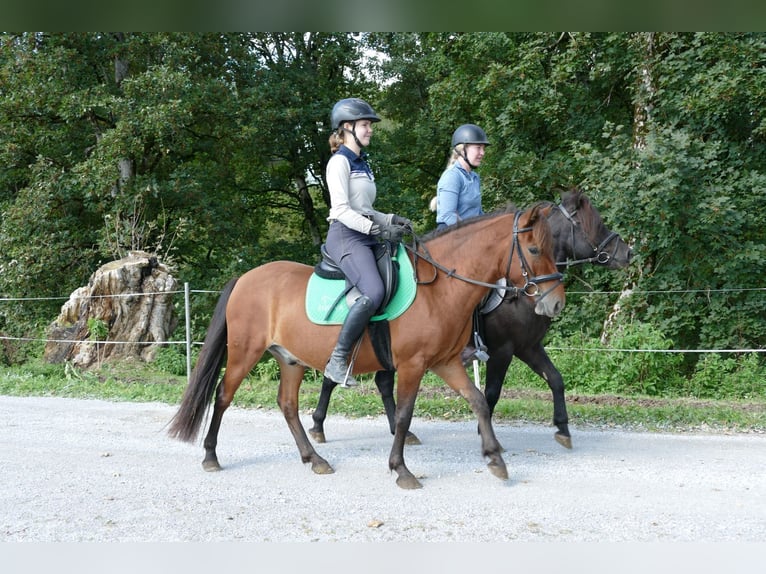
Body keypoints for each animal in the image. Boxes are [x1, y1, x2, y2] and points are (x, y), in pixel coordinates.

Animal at [168, 202, 568, 490]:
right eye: (534, 249)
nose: (555, 303)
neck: (438, 288)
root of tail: (245, 278)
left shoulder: (446, 362)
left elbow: (479, 402)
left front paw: (495, 460)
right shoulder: (413, 364)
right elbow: (404, 415)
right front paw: (401, 469)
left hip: (291, 360)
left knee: (287, 405)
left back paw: (314, 459)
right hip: (244, 352)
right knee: (223, 395)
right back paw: (210, 455)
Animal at [308, 189, 632, 450]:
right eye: (593, 223)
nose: (627, 253)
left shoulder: (528, 347)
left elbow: (555, 379)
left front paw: (563, 428)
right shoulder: (502, 350)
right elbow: (492, 393)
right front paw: (483, 431)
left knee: (381, 382)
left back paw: (399, 431)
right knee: (333, 375)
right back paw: (318, 424)